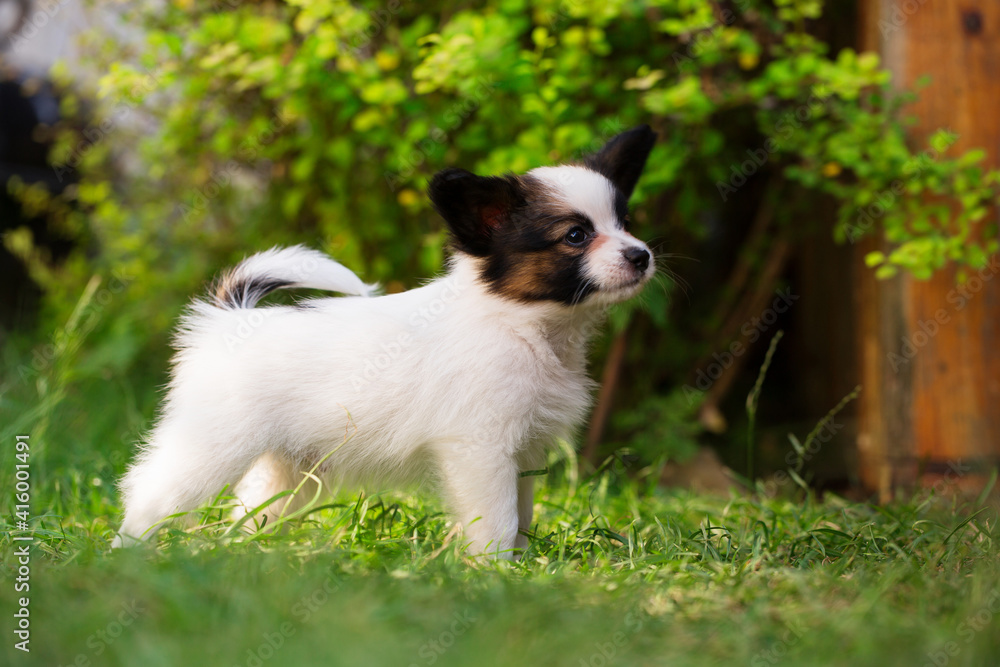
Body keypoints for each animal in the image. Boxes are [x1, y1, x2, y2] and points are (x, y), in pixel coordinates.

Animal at [114, 125, 657, 558]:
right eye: (575, 236)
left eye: (625, 224)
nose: (642, 255)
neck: (520, 323)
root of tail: (230, 317)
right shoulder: (479, 449)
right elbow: (498, 520)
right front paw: (493, 570)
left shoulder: (523, 452)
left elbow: (521, 514)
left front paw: (523, 566)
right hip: (213, 442)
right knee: (153, 490)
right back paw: (129, 551)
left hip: (290, 467)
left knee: (255, 507)